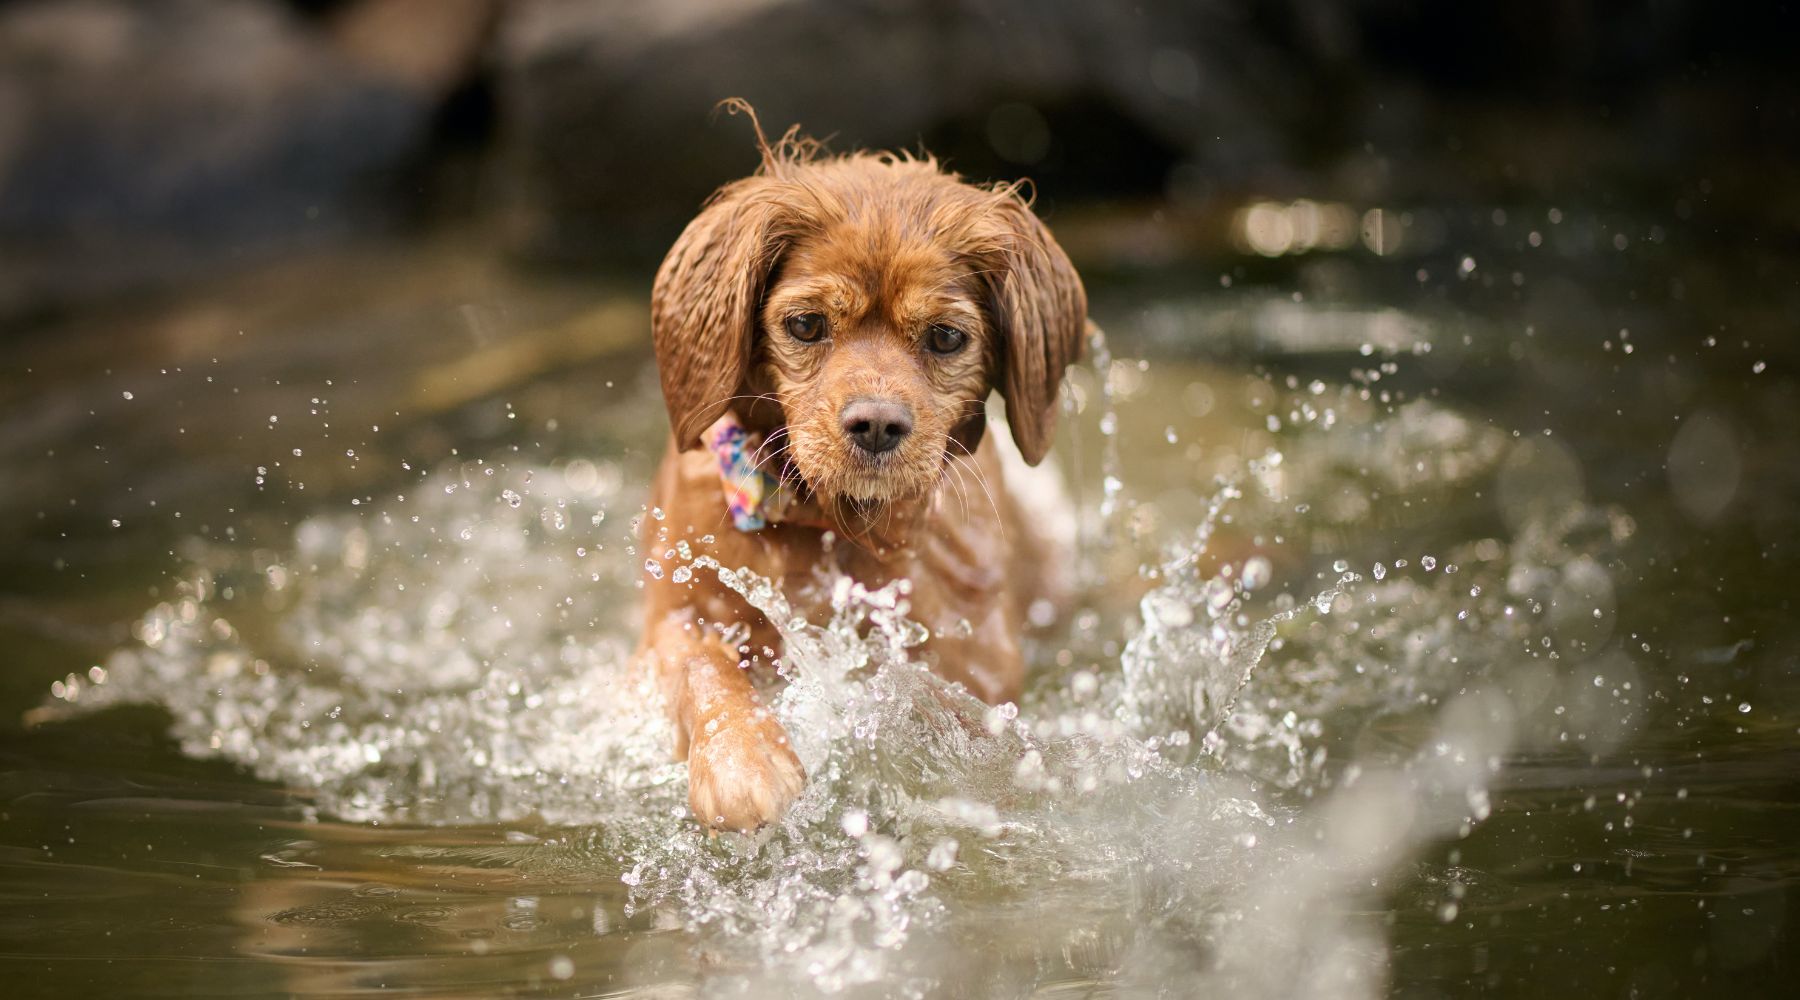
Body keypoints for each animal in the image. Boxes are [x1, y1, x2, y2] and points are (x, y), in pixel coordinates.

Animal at [640, 109, 1080, 830]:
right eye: (806, 324)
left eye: (946, 337)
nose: (876, 424)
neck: (831, 529)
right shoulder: (669, 617)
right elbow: (698, 660)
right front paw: (742, 761)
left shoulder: (976, 660)